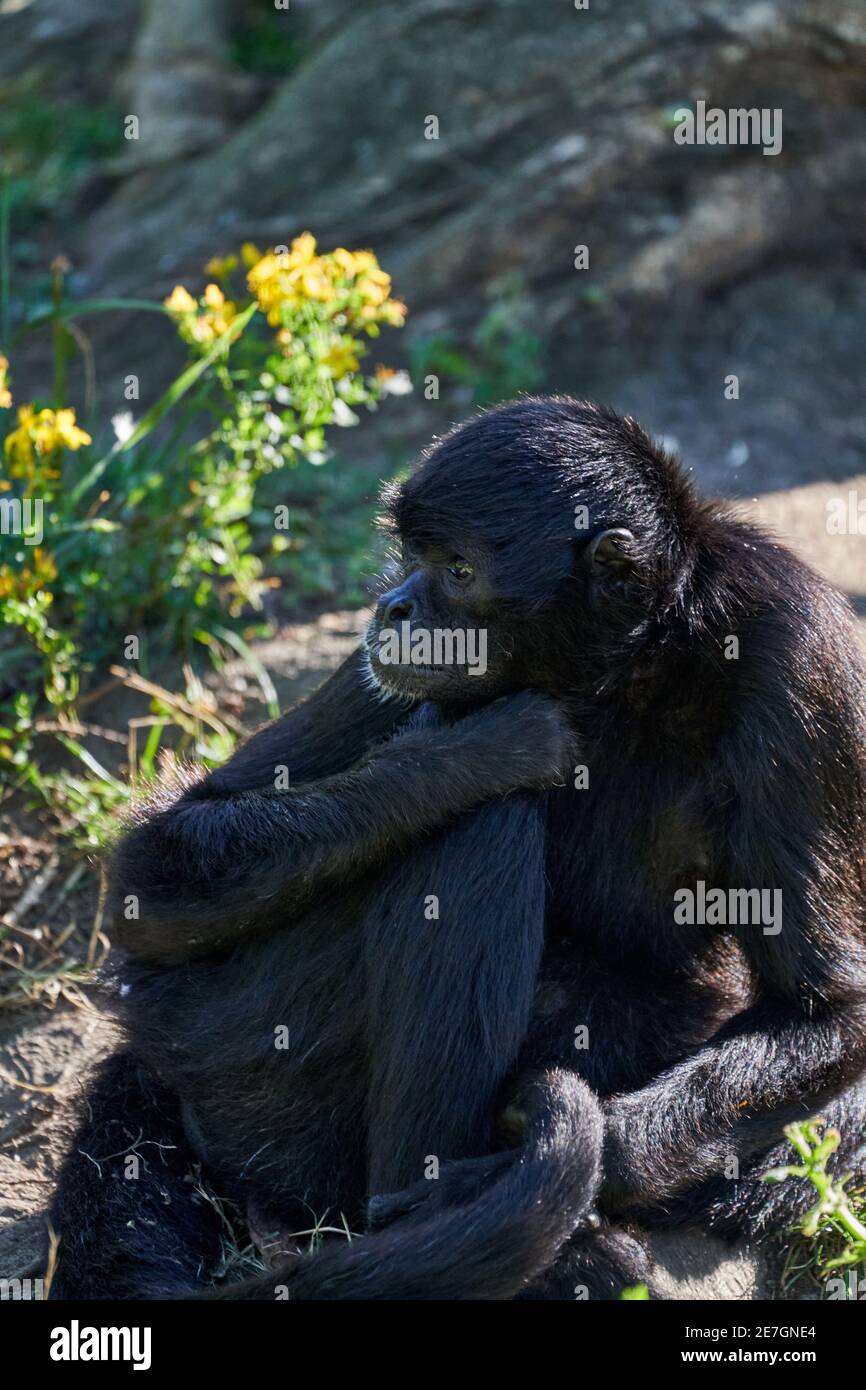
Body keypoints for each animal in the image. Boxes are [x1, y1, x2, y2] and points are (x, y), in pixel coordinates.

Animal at [47, 397, 866, 1295]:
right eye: (411, 556)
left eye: (459, 570)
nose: (393, 608)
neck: (624, 673)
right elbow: (151, 868)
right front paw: (480, 750)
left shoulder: (796, 653)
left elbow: (828, 1008)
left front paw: (561, 1162)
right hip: (225, 1031)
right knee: (481, 828)